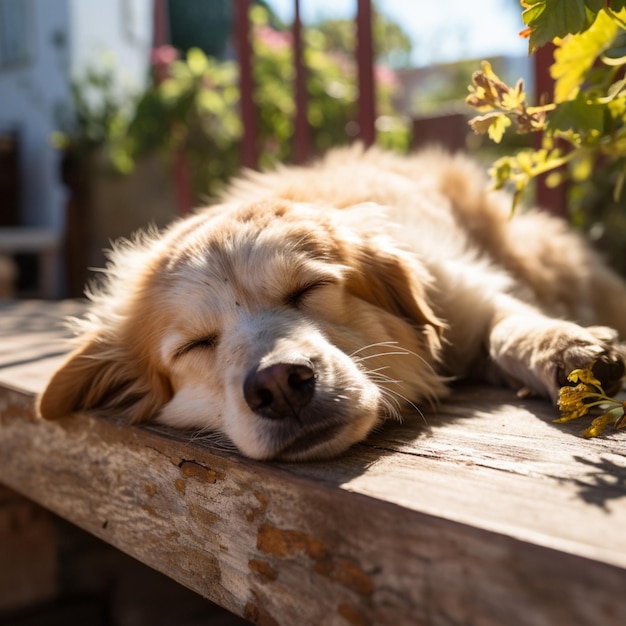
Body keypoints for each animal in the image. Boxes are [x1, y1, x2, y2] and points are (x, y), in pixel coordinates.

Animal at [37, 145, 624, 458]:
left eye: (308, 289)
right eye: (196, 345)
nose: (279, 385)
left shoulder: (467, 294)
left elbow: (511, 326)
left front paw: (568, 351)